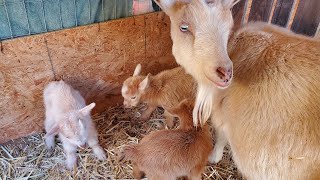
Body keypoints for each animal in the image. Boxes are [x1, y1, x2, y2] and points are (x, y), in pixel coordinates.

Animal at [155, 0, 320, 179]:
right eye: (184, 27)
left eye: (228, 25)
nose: (225, 73)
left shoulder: (221, 112)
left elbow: (221, 136)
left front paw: (214, 157)